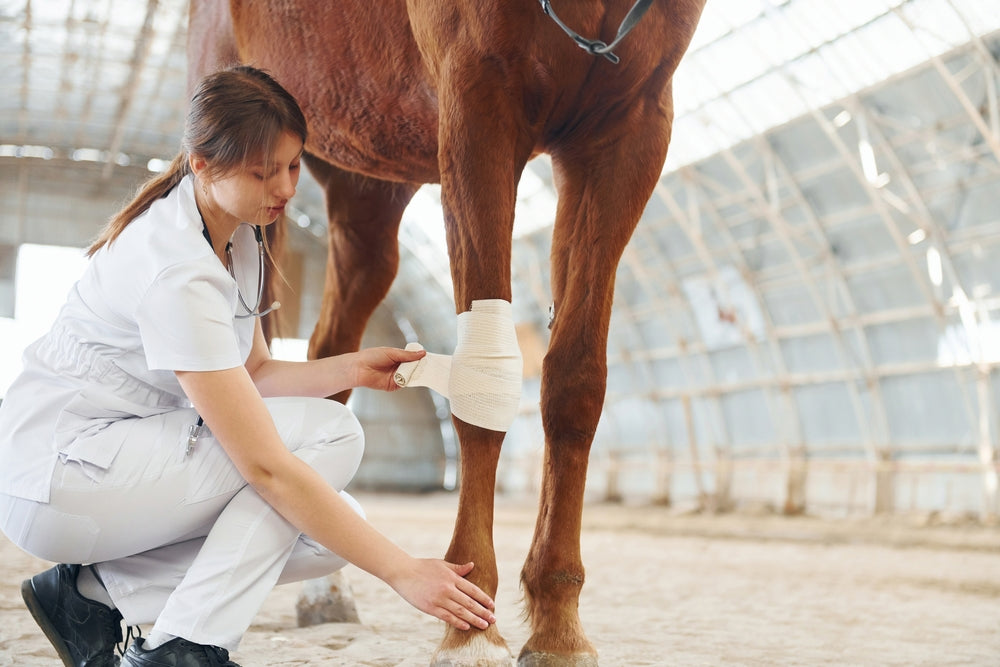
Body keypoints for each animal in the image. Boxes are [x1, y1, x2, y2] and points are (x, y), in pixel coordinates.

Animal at [187, 1, 705, 664]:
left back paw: (326, 594)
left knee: (331, 355)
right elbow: (486, 374)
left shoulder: (626, 133)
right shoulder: (476, 103)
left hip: (367, 189)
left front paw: (558, 626)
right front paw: (470, 623)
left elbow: (575, 380)